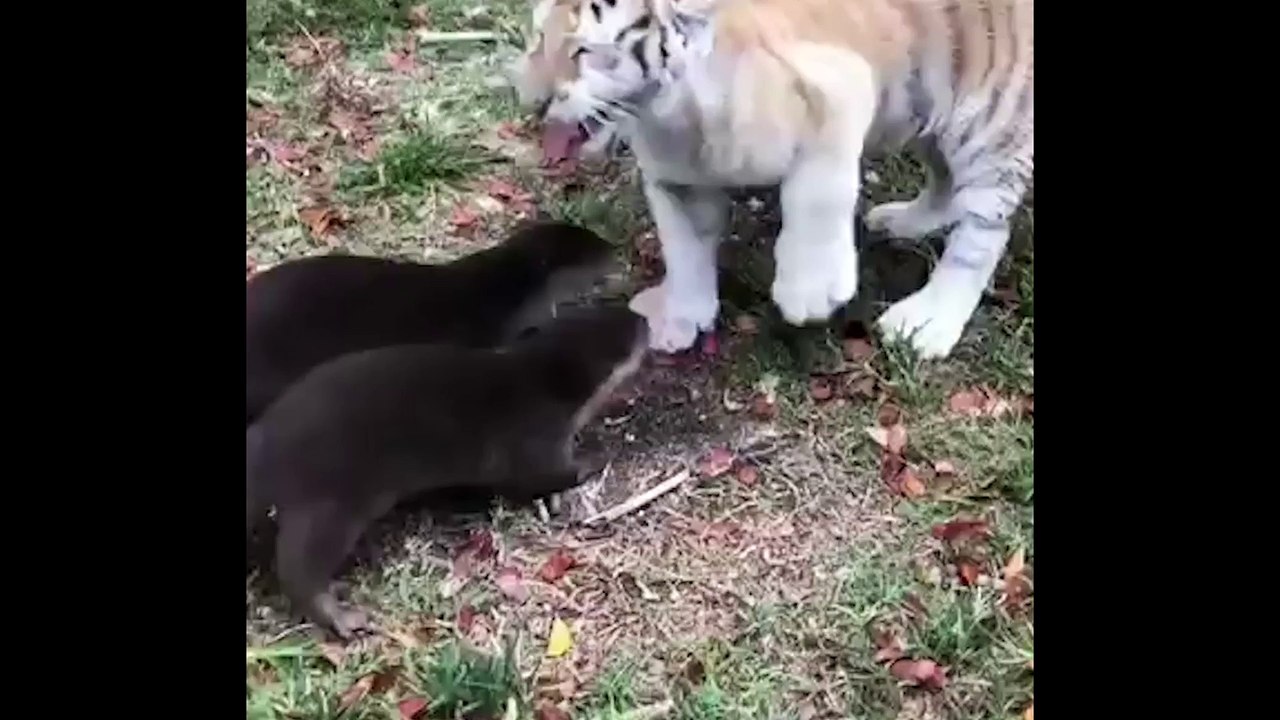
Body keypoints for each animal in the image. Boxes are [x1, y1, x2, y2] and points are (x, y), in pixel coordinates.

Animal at [511, 0, 1033, 359]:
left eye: (585, 51)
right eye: (537, 40)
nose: (532, 101)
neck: (666, 116)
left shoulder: (839, 89)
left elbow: (817, 195)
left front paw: (810, 291)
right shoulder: (676, 182)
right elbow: (683, 247)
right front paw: (682, 313)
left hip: (988, 124)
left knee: (980, 236)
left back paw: (928, 321)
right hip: (928, 105)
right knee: (944, 178)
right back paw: (905, 221)